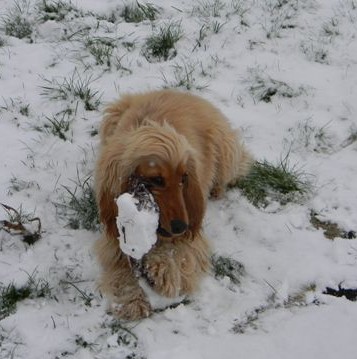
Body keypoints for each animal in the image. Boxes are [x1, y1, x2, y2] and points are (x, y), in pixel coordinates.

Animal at [93, 90, 252, 320]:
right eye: (157, 180)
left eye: (184, 178)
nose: (180, 227)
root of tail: (183, 93)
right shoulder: (113, 234)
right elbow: (121, 266)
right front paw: (133, 300)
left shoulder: (192, 235)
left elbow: (180, 251)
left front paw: (162, 269)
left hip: (226, 153)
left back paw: (217, 189)